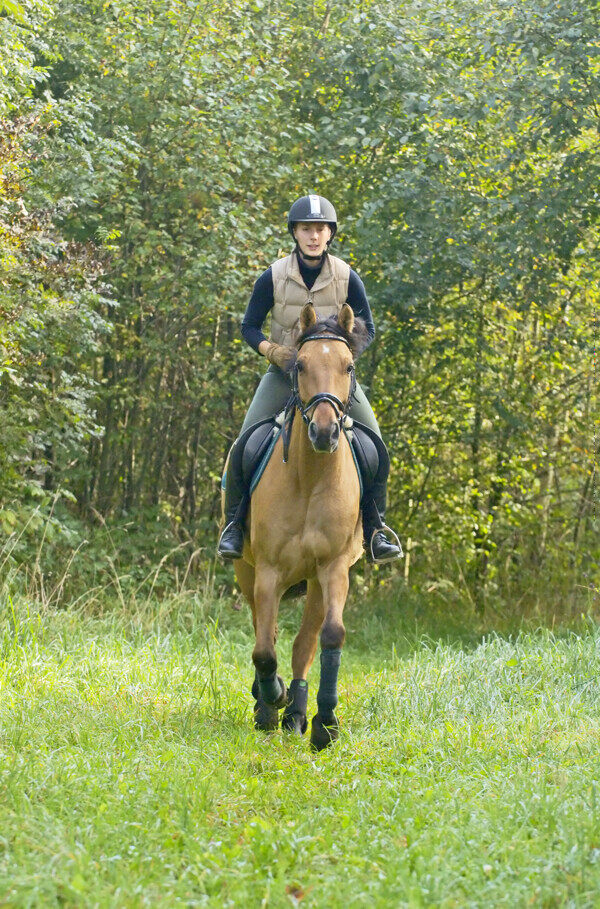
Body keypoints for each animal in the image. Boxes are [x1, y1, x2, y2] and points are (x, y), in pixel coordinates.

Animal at [232, 302, 368, 748]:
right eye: (301, 364)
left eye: (348, 366)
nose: (324, 432)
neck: (310, 479)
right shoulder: (268, 571)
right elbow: (263, 649)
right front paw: (269, 699)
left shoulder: (334, 568)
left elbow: (330, 637)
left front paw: (325, 723)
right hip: (246, 571)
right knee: (267, 634)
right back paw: (269, 704)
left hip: (315, 582)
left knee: (304, 642)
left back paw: (295, 712)